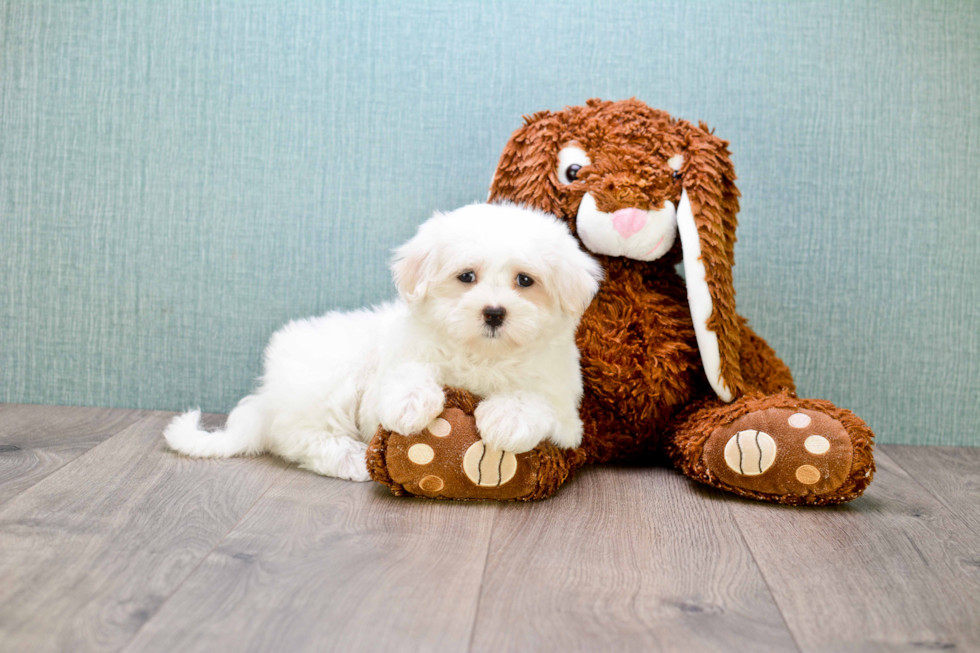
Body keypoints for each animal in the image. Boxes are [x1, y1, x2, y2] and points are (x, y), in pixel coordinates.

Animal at [165, 201, 600, 482]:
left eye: (525, 280)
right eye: (466, 276)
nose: (494, 312)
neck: (482, 356)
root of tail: (267, 398)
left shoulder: (567, 414)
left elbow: (533, 400)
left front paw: (507, 419)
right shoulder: (396, 365)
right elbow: (406, 375)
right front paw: (411, 405)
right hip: (326, 381)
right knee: (298, 436)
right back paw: (351, 458)